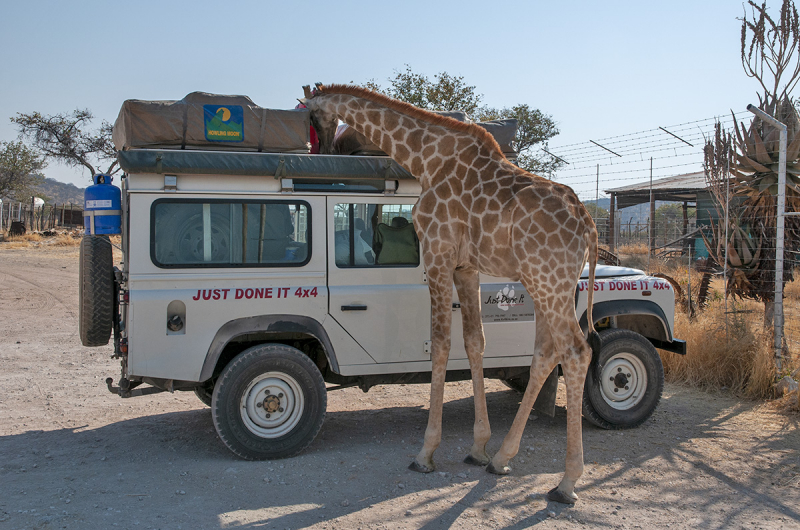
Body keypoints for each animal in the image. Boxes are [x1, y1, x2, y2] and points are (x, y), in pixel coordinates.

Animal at [304, 83, 596, 504]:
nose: (324, 152)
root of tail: (587, 223)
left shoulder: (437, 257)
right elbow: (475, 341)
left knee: (576, 351)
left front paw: (425, 452)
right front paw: (478, 449)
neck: (426, 157)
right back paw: (502, 459)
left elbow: (440, 343)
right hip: (549, 283)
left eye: (312, 116)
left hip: (548, 281)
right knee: (545, 353)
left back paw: (567, 482)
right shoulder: (466, 267)